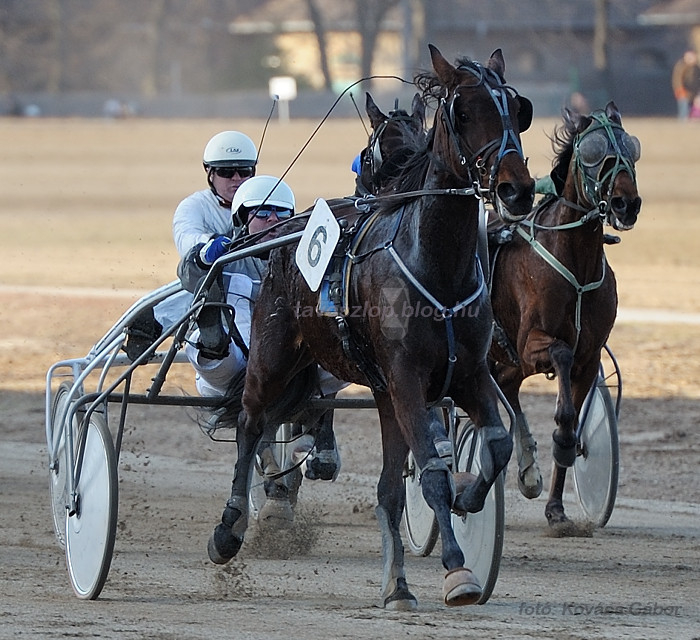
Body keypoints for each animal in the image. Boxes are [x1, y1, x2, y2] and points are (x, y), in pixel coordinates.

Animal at [208, 46, 536, 608]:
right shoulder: (406, 379)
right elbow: (430, 474)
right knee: (251, 422)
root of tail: (280, 238)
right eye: (463, 111)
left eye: (517, 111)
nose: (517, 188)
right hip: (274, 357)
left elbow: (494, 445)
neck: (436, 263)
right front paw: (457, 569)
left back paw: (397, 585)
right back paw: (229, 529)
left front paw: (469, 496)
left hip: (379, 392)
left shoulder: (466, 374)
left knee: (384, 486)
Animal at [486, 101, 640, 524]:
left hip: (511, 362)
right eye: (593, 152)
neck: (575, 260)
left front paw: (556, 506)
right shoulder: (531, 343)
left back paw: (527, 471)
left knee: (506, 386)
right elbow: (561, 356)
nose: (627, 204)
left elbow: (571, 427)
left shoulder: (588, 357)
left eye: (631, 148)